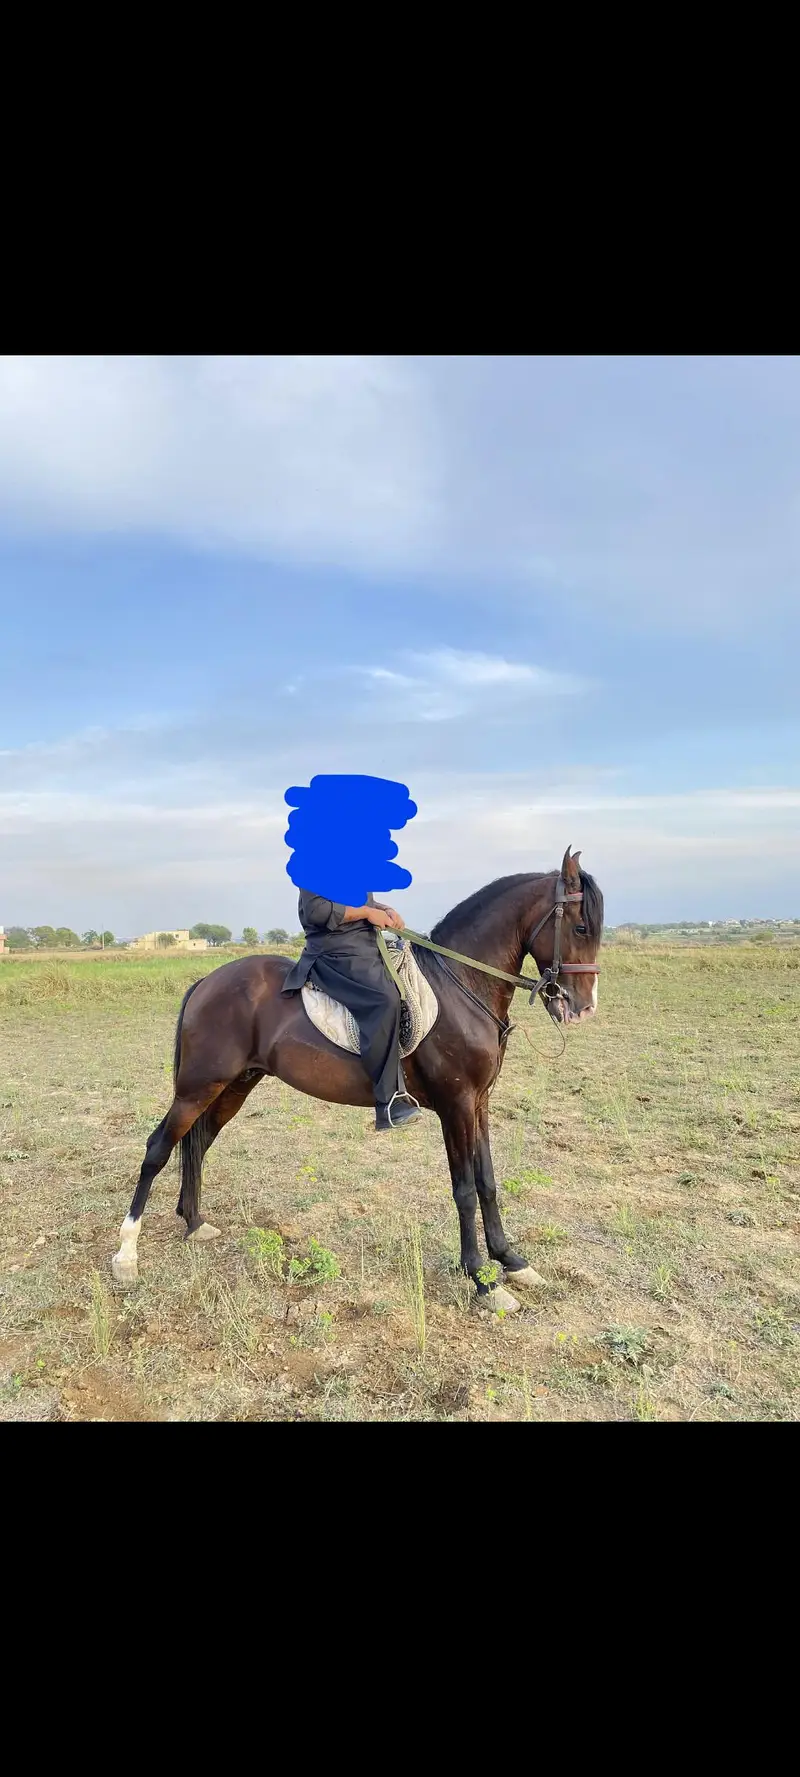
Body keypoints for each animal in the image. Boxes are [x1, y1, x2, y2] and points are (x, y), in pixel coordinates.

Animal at [111, 846, 603, 1311]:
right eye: (581, 928)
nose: (582, 1008)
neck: (460, 986)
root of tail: (206, 982)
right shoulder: (456, 1105)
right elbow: (463, 1188)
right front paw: (482, 1280)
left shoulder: (478, 1103)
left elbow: (487, 1182)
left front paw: (512, 1262)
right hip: (198, 1086)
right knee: (158, 1148)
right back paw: (127, 1255)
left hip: (234, 1085)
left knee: (197, 1143)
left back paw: (194, 1223)